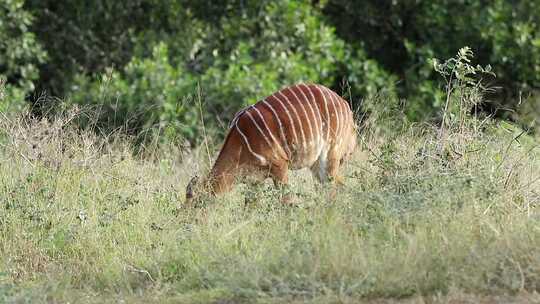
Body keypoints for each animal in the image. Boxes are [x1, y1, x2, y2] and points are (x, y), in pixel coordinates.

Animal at [187, 82, 358, 204]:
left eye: (196, 203)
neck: (241, 143)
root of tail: (345, 105)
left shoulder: (280, 166)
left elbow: (287, 202)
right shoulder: (255, 181)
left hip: (330, 155)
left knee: (333, 188)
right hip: (317, 164)